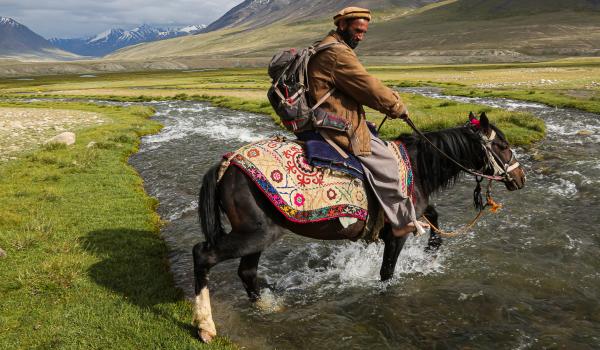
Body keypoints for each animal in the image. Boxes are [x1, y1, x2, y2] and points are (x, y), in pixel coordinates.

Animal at [192, 113, 524, 344]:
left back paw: (267, 308)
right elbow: (387, 273)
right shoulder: (398, 231)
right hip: (256, 233)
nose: (520, 178)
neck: (418, 166)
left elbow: (433, 214)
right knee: (203, 254)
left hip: (259, 235)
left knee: (246, 271)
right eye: (503, 145)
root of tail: (226, 165)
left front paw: (432, 250)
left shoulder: (414, 212)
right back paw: (206, 328)